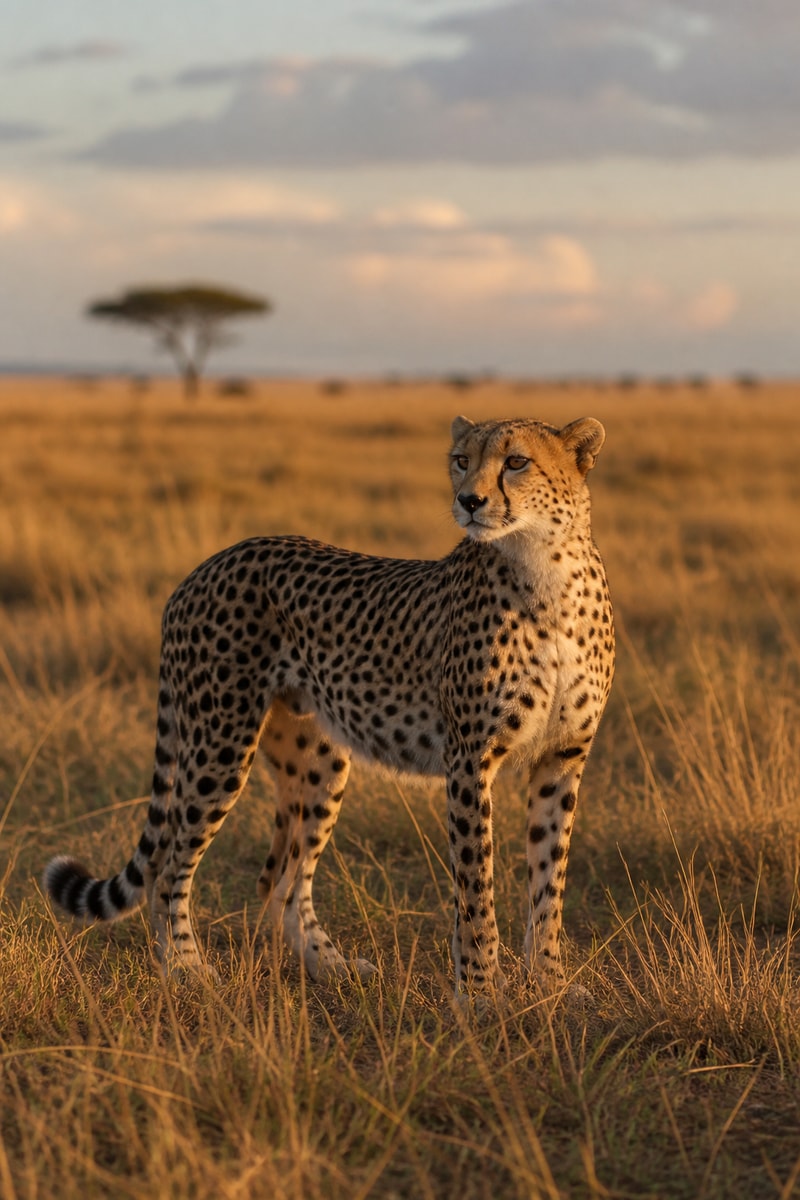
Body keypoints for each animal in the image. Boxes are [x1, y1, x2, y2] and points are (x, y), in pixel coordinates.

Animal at [44, 414, 615, 997]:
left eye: (516, 462)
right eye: (461, 459)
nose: (469, 500)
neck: (545, 567)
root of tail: (204, 568)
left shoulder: (562, 759)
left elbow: (549, 878)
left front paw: (550, 984)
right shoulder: (470, 759)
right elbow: (476, 883)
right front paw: (480, 991)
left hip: (317, 758)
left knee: (281, 879)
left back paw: (328, 966)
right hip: (219, 744)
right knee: (170, 865)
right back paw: (186, 970)